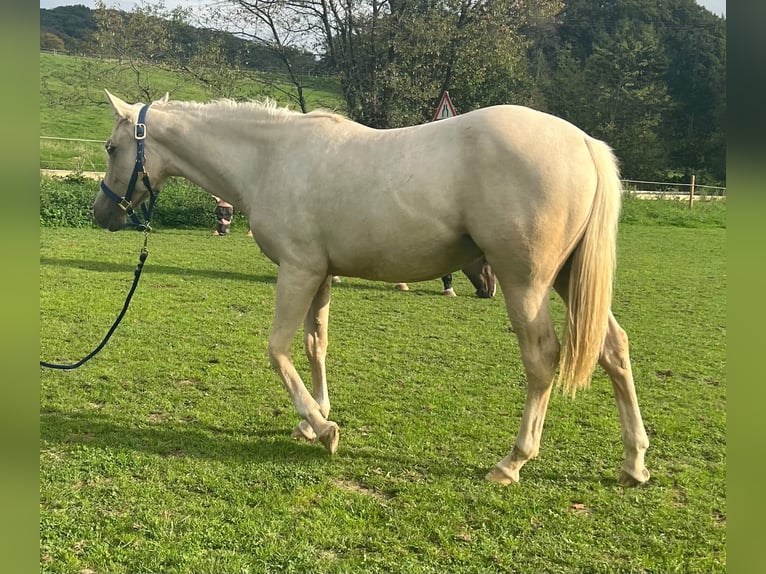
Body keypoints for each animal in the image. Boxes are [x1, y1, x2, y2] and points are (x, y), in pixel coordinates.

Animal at [93, 90, 650, 486]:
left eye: (112, 147)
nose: (101, 215)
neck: (271, 157)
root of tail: (584, 143)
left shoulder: (297, 270)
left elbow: (277, 349)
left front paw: (323, 429)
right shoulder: (320, 274)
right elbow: (315, 344)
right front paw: (314, 417)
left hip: (525, 282)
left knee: (542, 358)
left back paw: (512, 461)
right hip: (569, 279)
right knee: (614, 348)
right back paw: (634, 462)